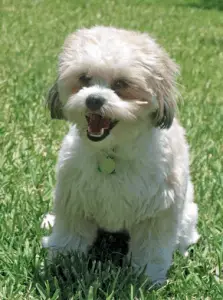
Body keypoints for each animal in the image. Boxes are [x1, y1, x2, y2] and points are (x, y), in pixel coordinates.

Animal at [42, 25, 199, 284]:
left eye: (121, 84)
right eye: (84, 78)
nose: (94, 99)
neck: (112, 151)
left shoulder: (158, 211)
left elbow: (152, 248)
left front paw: (148, 278)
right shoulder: (74, 200)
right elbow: (69, 236)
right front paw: (62, 263)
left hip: (187, 214)